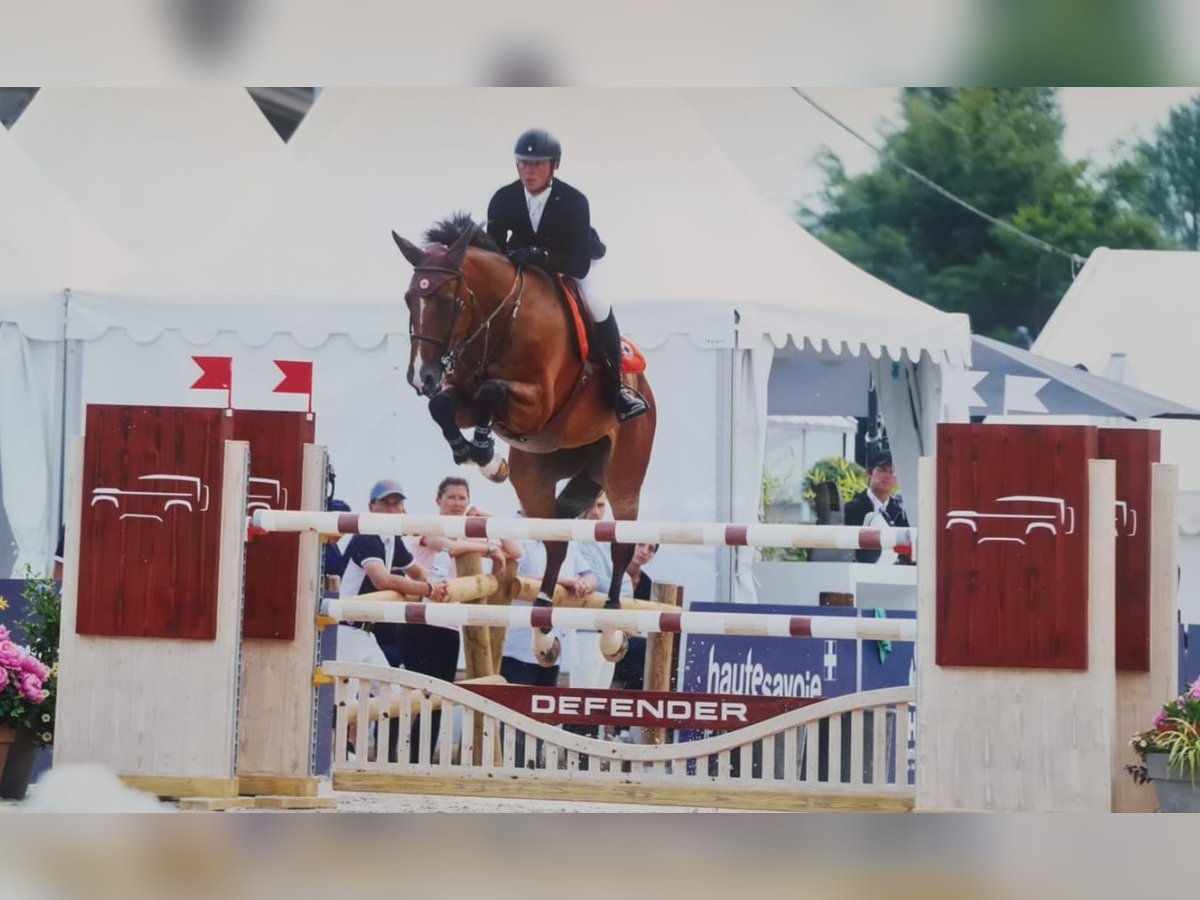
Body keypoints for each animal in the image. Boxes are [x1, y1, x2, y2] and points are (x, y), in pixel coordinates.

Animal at [391, 214, 657, 667]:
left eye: (449, 301)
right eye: (410, 298)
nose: (420, 377)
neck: (502, 319)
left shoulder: (538, 403)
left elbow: (491, 391)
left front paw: (483, 452)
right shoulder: (462, 395)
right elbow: (446, 405)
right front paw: (481, 456)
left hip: (623, 473)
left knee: (620, 544)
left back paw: (610, 629)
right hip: (538, 472)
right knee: (555, 545)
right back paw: (543, 629)